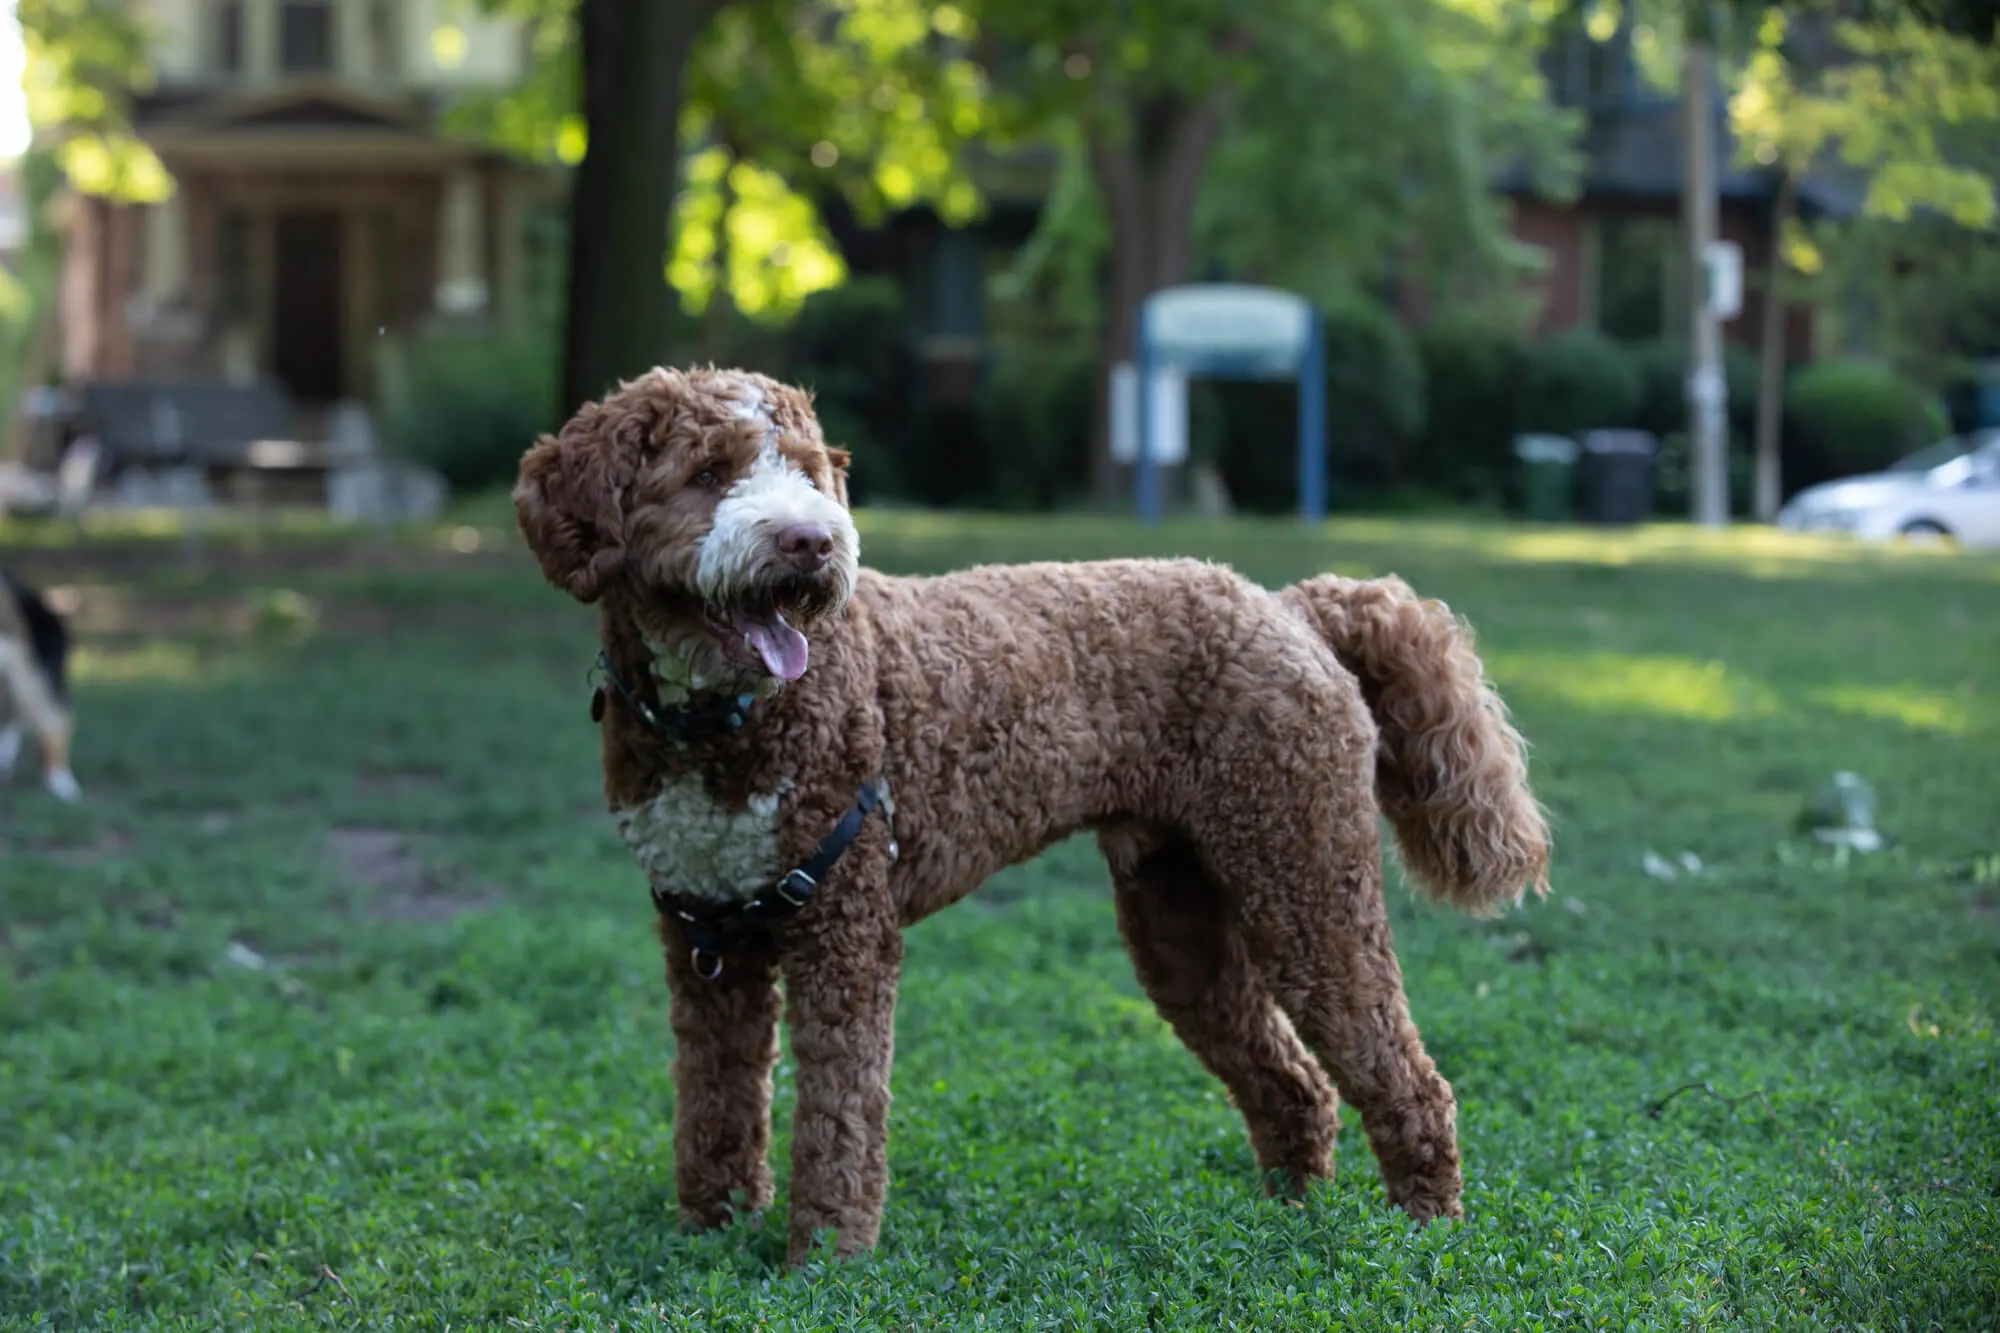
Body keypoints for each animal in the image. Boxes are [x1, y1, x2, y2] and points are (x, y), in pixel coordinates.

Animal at [512, 368, 1544, 1264]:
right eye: (708, 472)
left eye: (806, 470)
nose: (812, 542)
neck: (722, 721)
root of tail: (1287, 604)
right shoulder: (705, 940)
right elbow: (715, 1103)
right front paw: (709, 1233)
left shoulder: (845, 932)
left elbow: (839, 1115)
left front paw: (825, 1263)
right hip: (1181, 914)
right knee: (1293, 1084)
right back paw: (1285, 1217)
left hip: (1305, 875)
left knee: (1405, 1075)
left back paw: (1423, 1233)